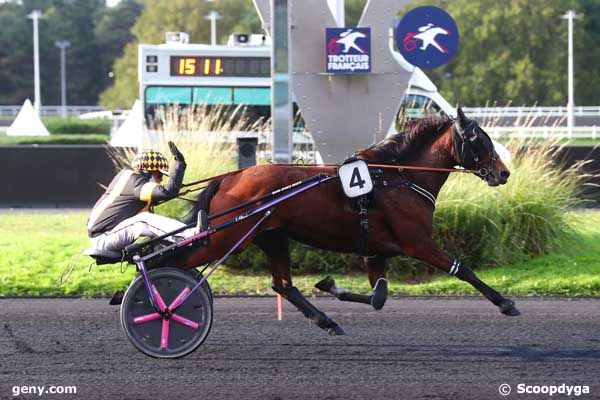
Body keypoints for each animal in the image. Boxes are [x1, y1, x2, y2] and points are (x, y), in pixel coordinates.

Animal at [176, 108, 516, 336]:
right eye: (477, 139)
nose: (503, 173)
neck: (398, 177)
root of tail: (230, 178)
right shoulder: (418, 243)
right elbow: (463, 269)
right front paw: (505, 303)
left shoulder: (375, 251)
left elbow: (379, 297)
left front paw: (330, 285)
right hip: (227, 238)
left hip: (273, 236)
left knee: (283, 284)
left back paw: (327, 322)